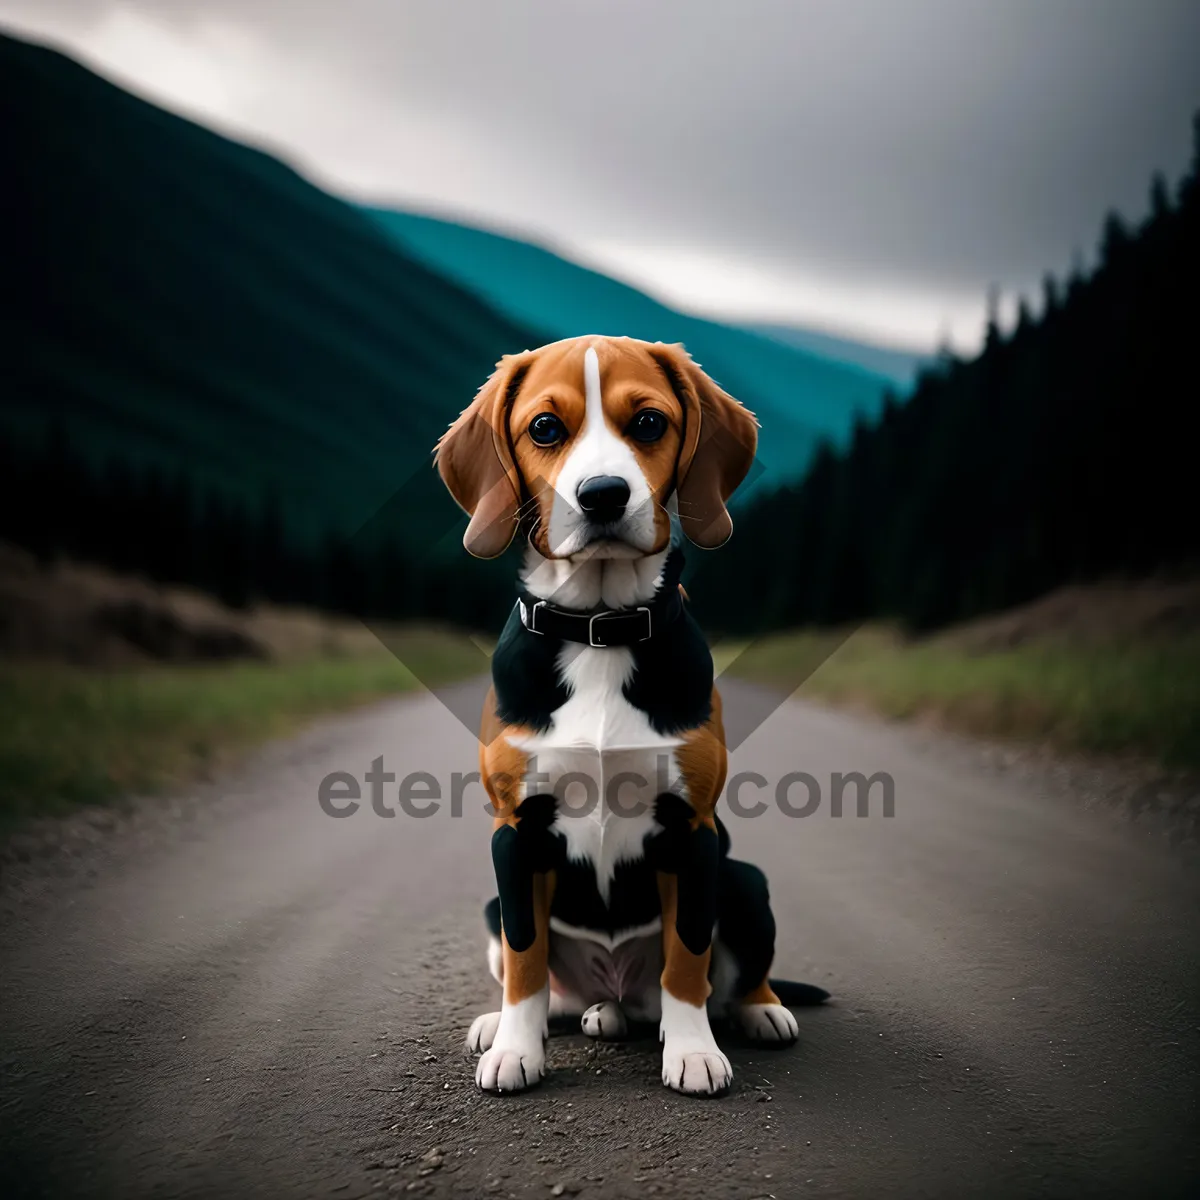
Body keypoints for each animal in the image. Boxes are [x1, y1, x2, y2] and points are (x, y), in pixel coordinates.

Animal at [434, 336, 825, 1099]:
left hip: (745, 878)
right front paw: (516, 1048)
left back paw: (758, 1010)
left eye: (648, 422)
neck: (599, 629)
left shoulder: (693, 832)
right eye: (544, 428)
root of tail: (616, 991)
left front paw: (694, 1052)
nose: (603, 495)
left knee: (718, 976)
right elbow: (525, 956)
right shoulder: (515, 834)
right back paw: (539, 1020)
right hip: (499, 906)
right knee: (557, 988)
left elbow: (689, 956)